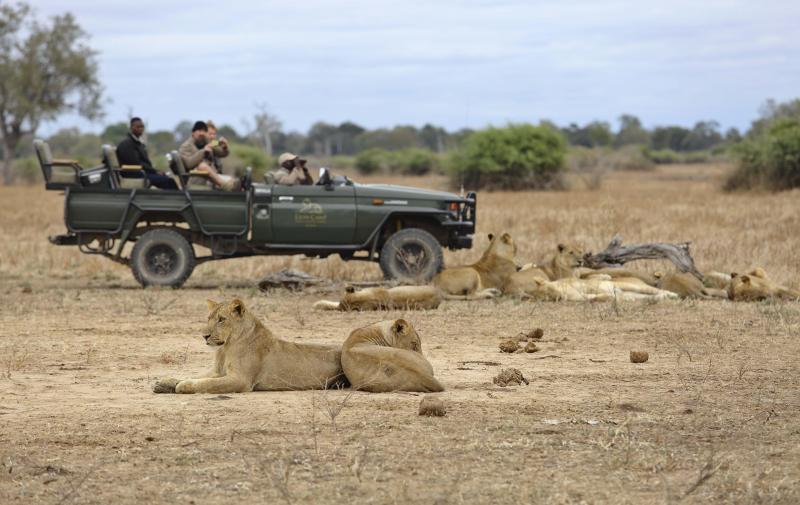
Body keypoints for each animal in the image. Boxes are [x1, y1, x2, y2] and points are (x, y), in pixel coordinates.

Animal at [153, 298, 346, 394]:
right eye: (209, 318)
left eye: (221, 319)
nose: (204, 336)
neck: (226, 347)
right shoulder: (218, 371)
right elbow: (196, 376)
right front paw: (165, 383)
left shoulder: (240, 379)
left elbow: (206, 383)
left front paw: (182, 385)